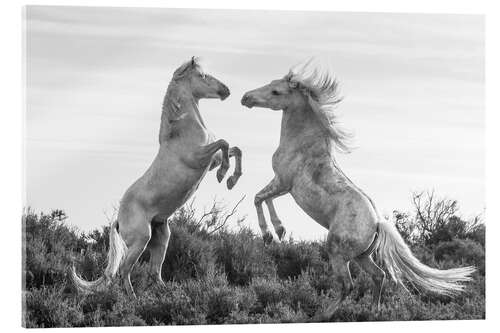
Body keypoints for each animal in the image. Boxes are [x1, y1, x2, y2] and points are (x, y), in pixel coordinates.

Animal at [71, 56, 241, 296]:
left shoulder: (210, 160)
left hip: (161, 237)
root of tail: (118, 220)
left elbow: (234, 149)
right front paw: (223, 175)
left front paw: (231, 179)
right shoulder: (198, 158)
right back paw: (134, 299)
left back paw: (169, 294)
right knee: (124, 271)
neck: (181, 132)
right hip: (141, 239)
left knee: (154, 273)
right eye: (202, 76)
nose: (226, 90)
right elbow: (224, 143)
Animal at [240, 59, 474, 320]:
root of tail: (377, 223)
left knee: (348, 285)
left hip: (337, 252)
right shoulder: (282, 184)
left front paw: (271, 233)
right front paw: (278, 232)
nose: (245, 98)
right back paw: (374, 311)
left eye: (275, 92)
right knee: (379, 276)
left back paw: (324, 315)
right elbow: (264, 199)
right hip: (362, 256)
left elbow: (258, 198)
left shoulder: (283, 182)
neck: (302, 145)